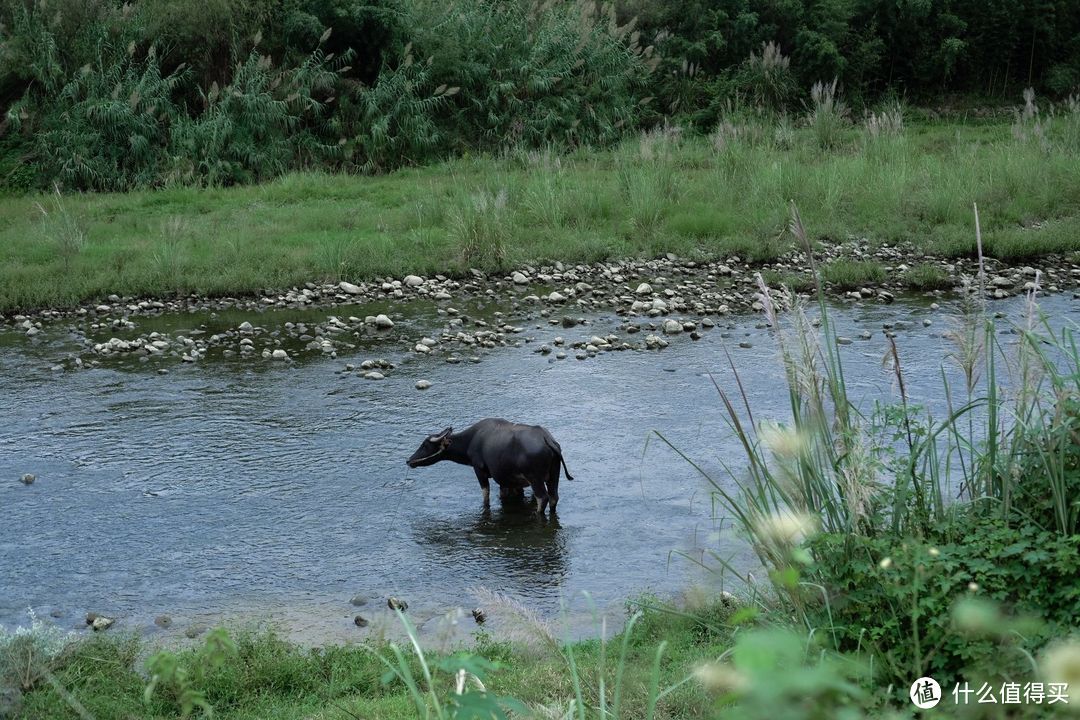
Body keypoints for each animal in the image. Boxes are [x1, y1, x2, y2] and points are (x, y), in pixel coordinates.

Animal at [406, 418, 574, 515]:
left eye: (425, 445)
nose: (409, 461)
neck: (471, 440)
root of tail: (548, 440)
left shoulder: (479, 470)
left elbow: (485, 495)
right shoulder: (507, 480)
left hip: (536, 479)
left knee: (542, 498)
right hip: (554, 476)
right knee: (553, 497)